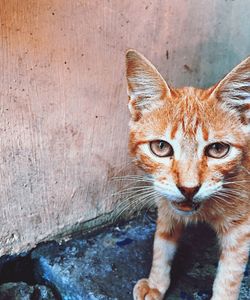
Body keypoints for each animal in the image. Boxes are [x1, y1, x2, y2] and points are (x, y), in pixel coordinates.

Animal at [126, 49, 249, 300]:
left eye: (218, 149)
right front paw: (156, 283)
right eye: (161, 147)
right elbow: (161, 244)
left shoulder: (241, 228)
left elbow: (230, 274)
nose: (189, 188)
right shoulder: (165, 203)